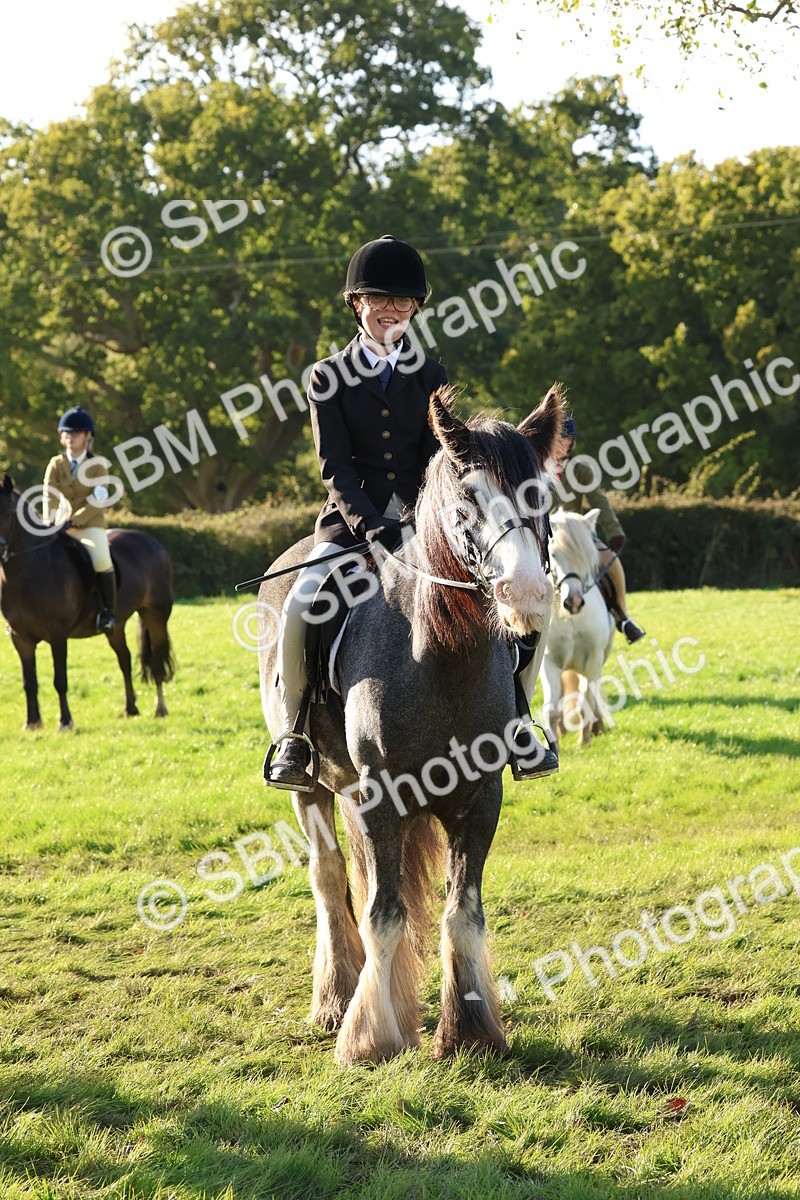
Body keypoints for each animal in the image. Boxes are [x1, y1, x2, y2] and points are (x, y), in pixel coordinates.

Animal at [0, 475, 175, 730]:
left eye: (7, 514)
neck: (28, 571)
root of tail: (153, 542)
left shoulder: (57, 634)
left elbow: (60, 679)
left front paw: (65, 721)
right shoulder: (20, 637)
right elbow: (29, 681)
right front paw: (32, 722)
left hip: (155, 615)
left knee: (157, 663)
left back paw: (160, 709)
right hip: (117, 625)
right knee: (125, 660)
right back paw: (130, 709)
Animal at [258, 385, 563, 1066]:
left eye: (543, 496)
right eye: (469, 497)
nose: (527, 594)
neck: (439, 656)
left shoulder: (480, 797)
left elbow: (462, 911)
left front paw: (470, 1030)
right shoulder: (380, 798)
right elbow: (383, 913)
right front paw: (370, 1037)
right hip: (316, 788)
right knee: (330, 879)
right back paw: (336, 1000)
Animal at [540, 508, 615, 748]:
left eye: (585, 557)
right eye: (554, 554)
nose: (573, 602)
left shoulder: (592, 659)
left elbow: (587, 701)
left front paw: (585, 740)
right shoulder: (549, 662)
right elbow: (551, 708)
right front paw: (555, 743)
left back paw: (597, 726)